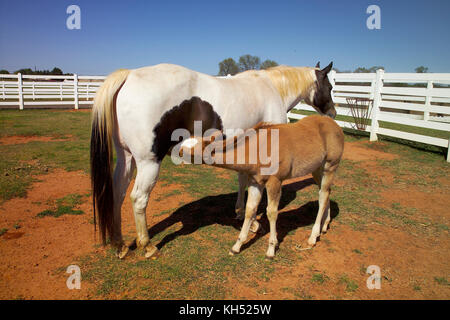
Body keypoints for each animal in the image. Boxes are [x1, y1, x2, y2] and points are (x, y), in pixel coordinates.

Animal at [179, 115, 344, 258]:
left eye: (194, 149)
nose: (179, 151)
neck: (259, 149)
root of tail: (335, 125)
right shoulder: (255, 183)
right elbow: (250, 210)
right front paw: (236, 247)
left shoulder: (275, 181)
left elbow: (271, 212)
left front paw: (271, 249)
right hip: (317, 170)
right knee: (326, 192)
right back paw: (324, 225)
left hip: (330, 166)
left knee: (323, 195)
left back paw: (313, 236)